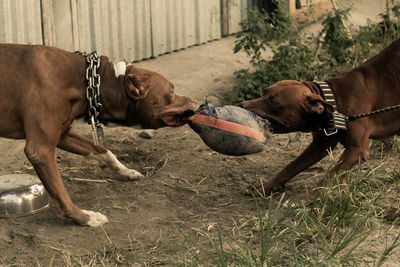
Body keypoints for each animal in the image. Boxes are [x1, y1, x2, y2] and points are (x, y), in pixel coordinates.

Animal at [0, 44, 197, 228]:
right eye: (171, 92)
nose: (195, 102)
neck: (83, 80)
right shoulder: (40, 149)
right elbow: (60, 192)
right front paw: (84, 217)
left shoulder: (63, 134)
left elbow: (104, 151)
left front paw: (126, 171)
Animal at [242, 38, 400, 197]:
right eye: (264, 91)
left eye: (274, 102)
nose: (242, 104)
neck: (335, 100)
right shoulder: (320, 145)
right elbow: (290, 167)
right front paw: (265, 187)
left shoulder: (357, 150)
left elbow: (329, 177)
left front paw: (305, 198)